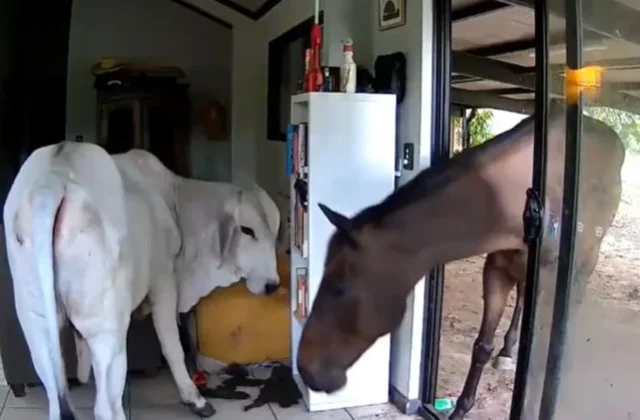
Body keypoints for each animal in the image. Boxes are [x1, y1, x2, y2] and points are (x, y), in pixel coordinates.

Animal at [296, 108, 625, 420]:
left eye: (339, 288)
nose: (305, 368)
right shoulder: (497, 270)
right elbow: (482, 346)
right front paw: (460, 409)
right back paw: (508, 350)